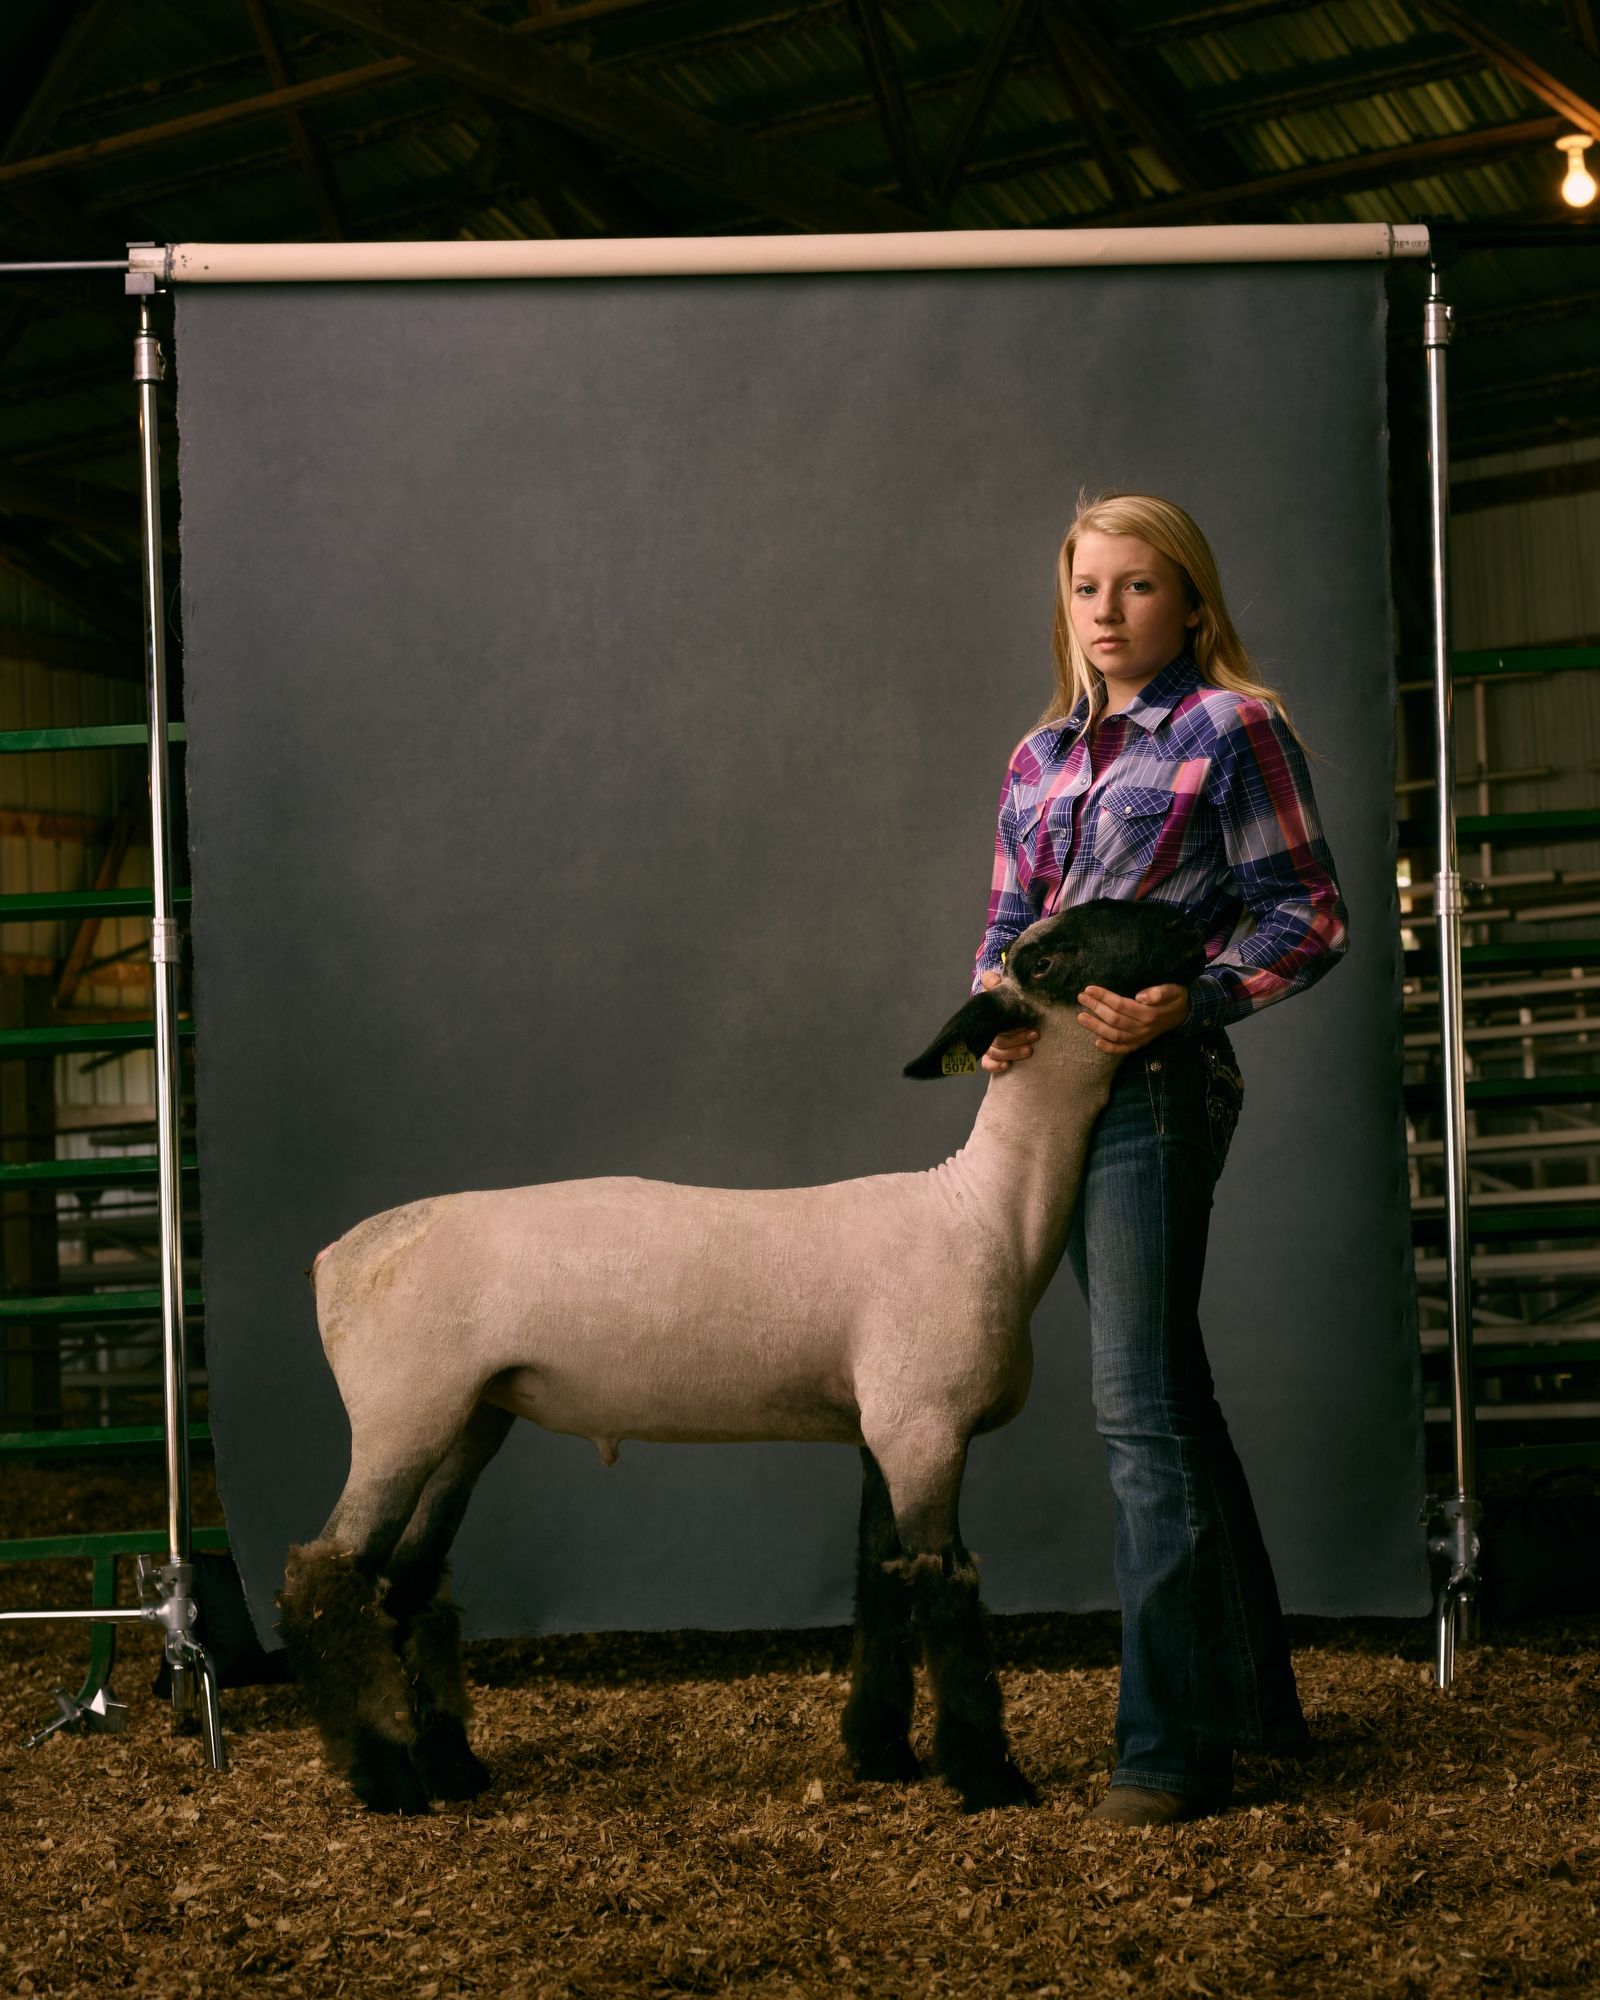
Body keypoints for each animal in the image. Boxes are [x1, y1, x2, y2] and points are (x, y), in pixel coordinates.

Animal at [278, 900, 1200, 1824]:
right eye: (1049, 956)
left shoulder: (881, 1429)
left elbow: (883, 1581)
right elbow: (943, 1587)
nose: (1182, 922)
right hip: (401, 1413)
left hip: (471, 1417)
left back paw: (451, 1768)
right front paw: (990, 1779)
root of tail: (331, 1257)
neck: (986, 1210)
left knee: (407, 1585)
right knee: (327, 1581)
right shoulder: (926, 1428)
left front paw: (882, 1755)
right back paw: (387, 1781)